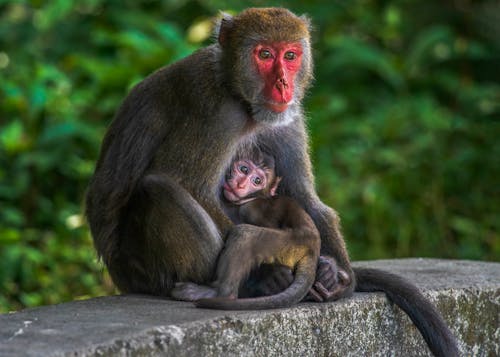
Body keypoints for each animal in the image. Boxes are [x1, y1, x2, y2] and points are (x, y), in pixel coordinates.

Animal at [172, 149, 320, 308]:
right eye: (244, 169)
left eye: (257, 181)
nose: (240, 184)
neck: (253, 198)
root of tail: (313, 247)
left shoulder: (250, 210)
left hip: (291, 245)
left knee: (243, 235)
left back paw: (220, 294)